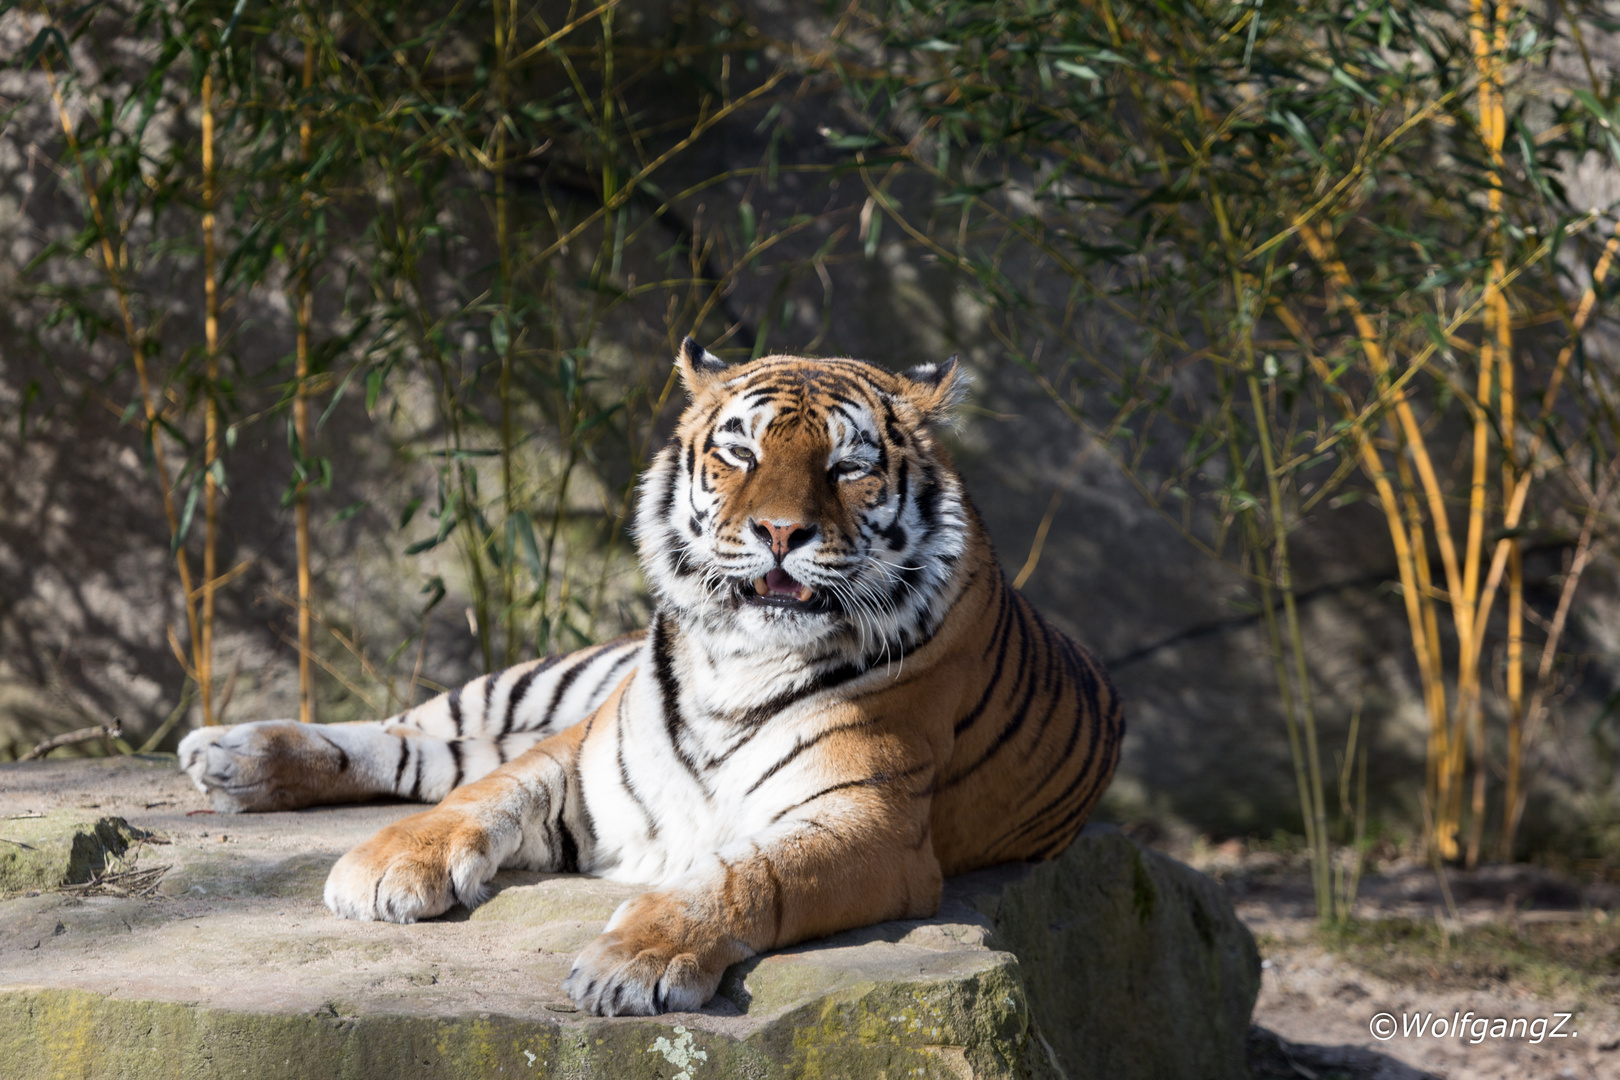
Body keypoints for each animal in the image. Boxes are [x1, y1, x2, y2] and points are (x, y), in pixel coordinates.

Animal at [174, 341, 1114, 1016]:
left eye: (849, 468)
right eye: (740, 454)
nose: (781, 533)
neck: (740, 661)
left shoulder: (873, 827)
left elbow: (747, 876)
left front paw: (634, 961)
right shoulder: (583, 756)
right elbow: (482, 796)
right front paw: (386, 865)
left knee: (435, 752)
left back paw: (231, 764)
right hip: (544, 684)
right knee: (419, 737)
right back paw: (230, 753)